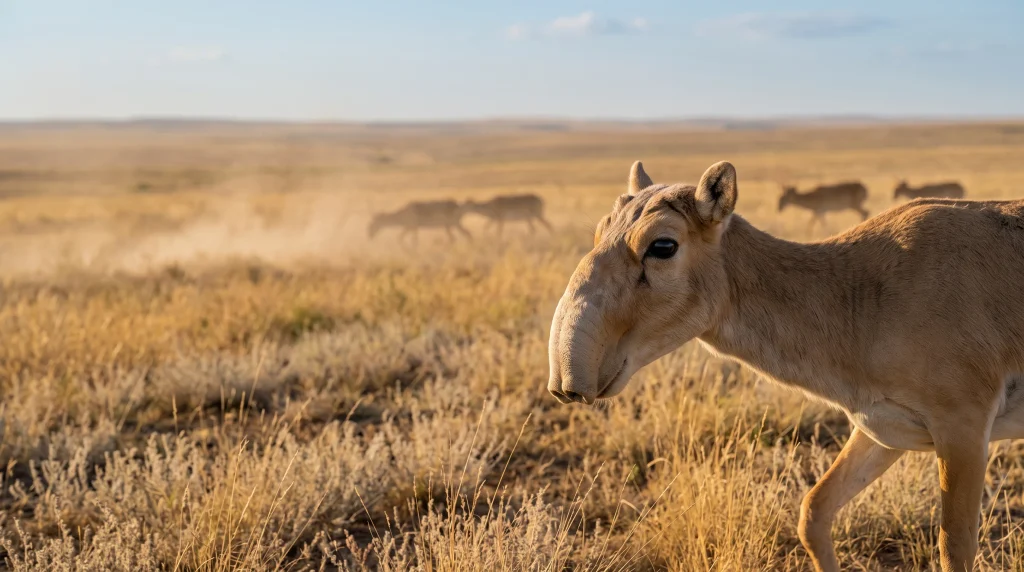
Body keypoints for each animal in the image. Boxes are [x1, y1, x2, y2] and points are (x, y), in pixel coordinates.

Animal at [547, 159, 1024, 572]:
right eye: (601, 231)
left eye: (662, 245)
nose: (569, 380)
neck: (862, 299)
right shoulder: (884, 428)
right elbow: (813, 511)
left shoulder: (962, 429)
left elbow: (954, 548)